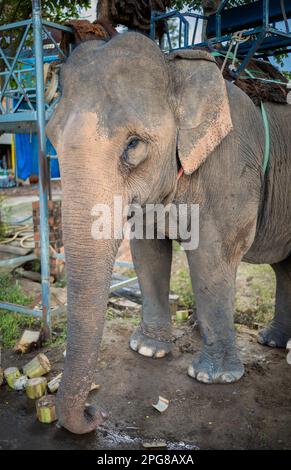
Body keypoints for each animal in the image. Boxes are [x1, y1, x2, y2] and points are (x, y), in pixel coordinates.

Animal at [46, 32, 291, 434]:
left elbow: (211, 258)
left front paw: (213, 378)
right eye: (51, 138)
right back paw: (273, 341)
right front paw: (147, 350)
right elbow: (147, 252)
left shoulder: (231, 164)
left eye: (133, 144)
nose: (97, 412)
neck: (175, 67)